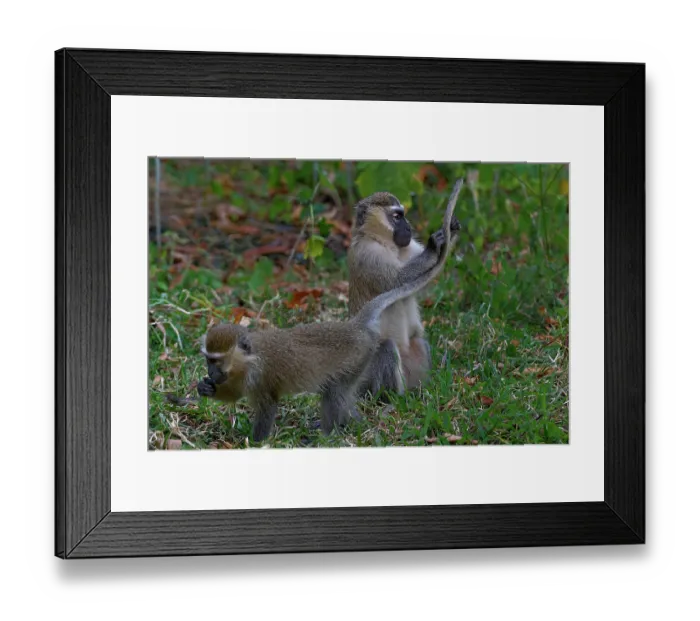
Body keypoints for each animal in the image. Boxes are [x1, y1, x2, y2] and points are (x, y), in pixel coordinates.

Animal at [347, 180, 464, 397]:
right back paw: (389, 398)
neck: (384, 242)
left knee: (419, 342)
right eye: (396, 217)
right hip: (368, 373)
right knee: (386, 349)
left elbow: (420, 285)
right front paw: (433, 247)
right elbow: (397, 281)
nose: (408, 227)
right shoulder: (368, 254)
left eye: (403, 215)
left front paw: (450, 229)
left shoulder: (408, 247)